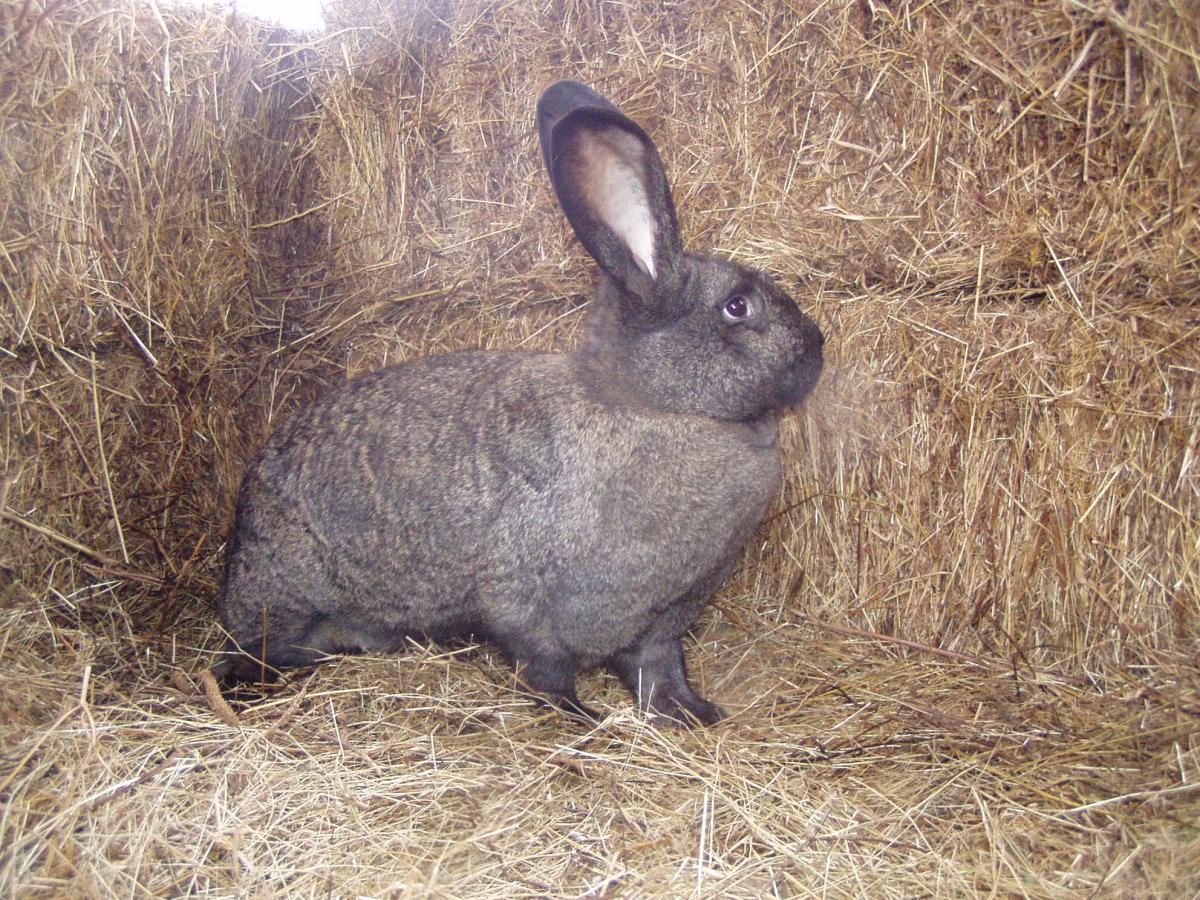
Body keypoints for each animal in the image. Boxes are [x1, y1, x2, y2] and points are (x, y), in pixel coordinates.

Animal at [211, 79, 820, 724]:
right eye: (738, 306)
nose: (819, 347)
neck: (659, 406)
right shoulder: (527, 602)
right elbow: (545, 667)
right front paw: (585, 719)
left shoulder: (660, 623)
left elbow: (659, 671)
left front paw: (695, 714)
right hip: (287, 595)